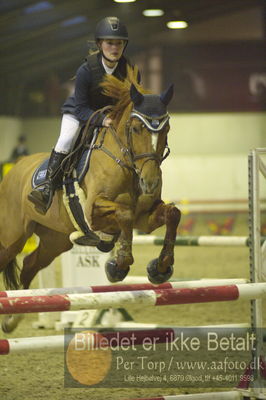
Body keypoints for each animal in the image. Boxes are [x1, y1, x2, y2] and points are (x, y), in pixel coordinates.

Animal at [0, 67, 181, 332]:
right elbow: (124, 213)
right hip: (13, 237)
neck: (126, 163)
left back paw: (13, 319)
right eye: (136, 128)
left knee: (30, 264)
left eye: (166, 130)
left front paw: (160, 268)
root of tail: (14, 168)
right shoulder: (94, 212)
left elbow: (172, 214)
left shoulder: (144, 218)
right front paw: (118, 265)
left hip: (55, 240)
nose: (150, 182)